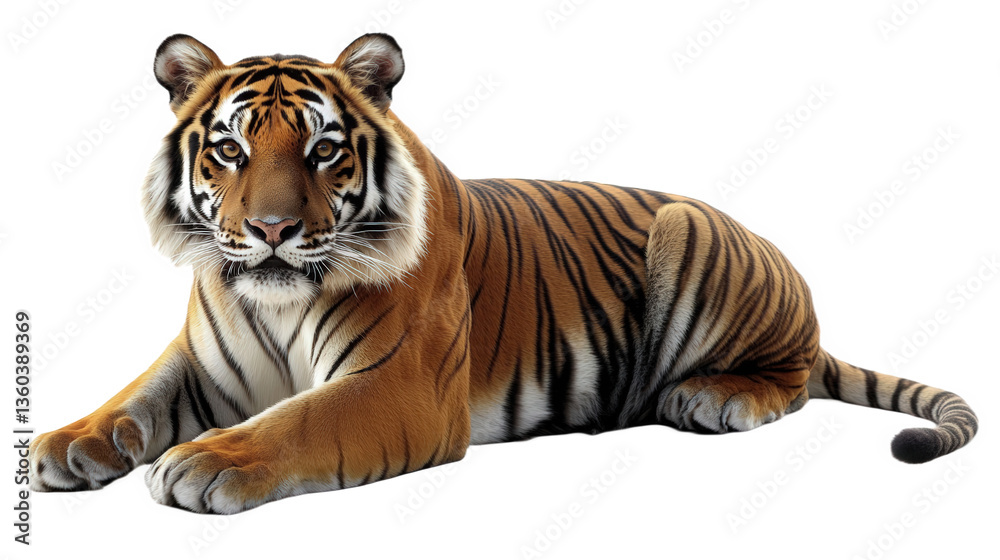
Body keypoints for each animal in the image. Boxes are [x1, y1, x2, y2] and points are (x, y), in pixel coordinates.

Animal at [29, 33, 978, 514]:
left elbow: (296, 422)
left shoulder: (400, 385)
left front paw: (202, 461)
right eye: (228, 150)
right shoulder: (203, 360)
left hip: (691, 230)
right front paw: (67, 445)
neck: (275, 301)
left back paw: (715, 396)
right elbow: (134, 396)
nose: (269, 231)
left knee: (793, 377)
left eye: (323, 149)